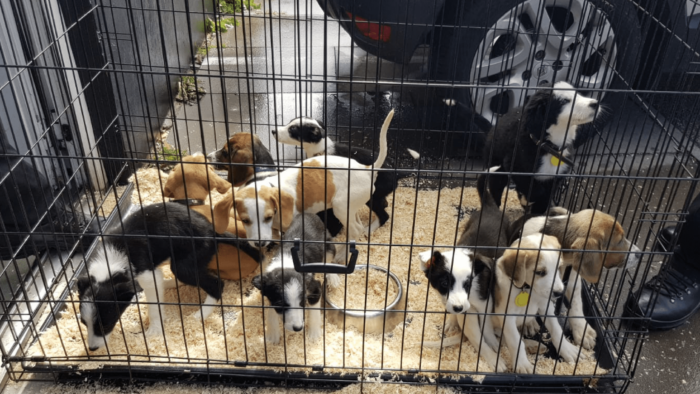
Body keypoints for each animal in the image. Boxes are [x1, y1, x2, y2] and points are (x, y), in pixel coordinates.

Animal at [78, 203, 253, 350]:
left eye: (106, 325)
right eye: (83, 323)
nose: (92, 349)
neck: (111, 262)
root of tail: (213, 232)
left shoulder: (148, 275)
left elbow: (154, 307)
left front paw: (154, 330)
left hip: (184, 266)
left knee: (216, 284)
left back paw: (201, 315)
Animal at [252, 214, 330, 344]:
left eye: (302, 302)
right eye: (281, 305)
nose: (298, 328)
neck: (287, 263)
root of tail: (308, 214)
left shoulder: (314, 287)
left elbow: (314, 310)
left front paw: (314, 334)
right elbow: (271, 313)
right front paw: (272, 335)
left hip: (328, 242)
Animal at [272, 115, 416, 235]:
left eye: (292, 129)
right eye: (290, 122)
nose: (273, 131)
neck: (322, 149)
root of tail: (396, 172)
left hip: (373, 197)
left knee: (384, 215)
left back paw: (368, 230)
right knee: (384, 205)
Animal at [484, 81, 600, 214]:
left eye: (578, 94)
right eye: (564, 101)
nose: (596, 104)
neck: (551, 146)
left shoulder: (555, 178)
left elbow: (544, 199)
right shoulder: (516, 167)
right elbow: (537, 191)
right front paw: (527, 199)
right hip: (496, 166)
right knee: (496, 188)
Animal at [516, 208, 644, 350]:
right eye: (619, 241)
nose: (640, 254)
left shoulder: (573, 280)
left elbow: (576, 305)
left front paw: (583, 332)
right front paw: (527, 322)